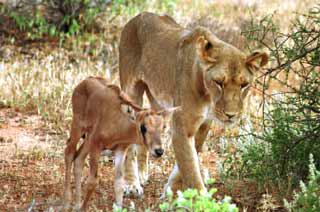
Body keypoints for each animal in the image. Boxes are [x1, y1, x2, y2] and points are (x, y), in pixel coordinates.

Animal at [62, 77, 178, 210]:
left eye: (163, 127)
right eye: (143, 127)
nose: (159, 151)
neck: (119, 124)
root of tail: (84, 82)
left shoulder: (120, 150)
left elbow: (118, 183)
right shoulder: (96, 146)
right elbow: (92, 182)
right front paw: (83, 208)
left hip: (88, 138)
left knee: (78, 159)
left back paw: (76, 205)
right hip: (78, 126)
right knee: (69, 153)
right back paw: (66, 203)